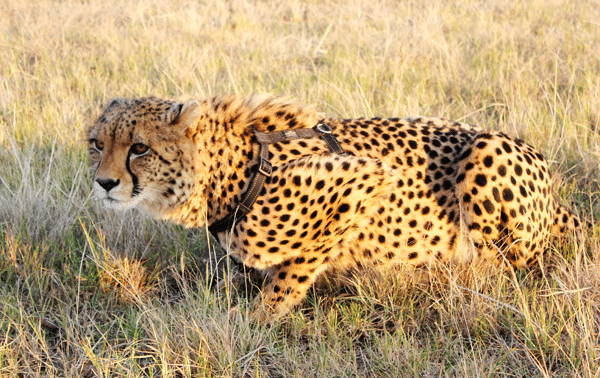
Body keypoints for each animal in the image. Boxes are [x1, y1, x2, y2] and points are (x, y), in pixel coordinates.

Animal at [86, 95, 580, 318]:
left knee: (501, 269)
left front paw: (255, 318)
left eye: (140, 148)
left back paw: (431, 274)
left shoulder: (365, 178)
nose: (105, 183)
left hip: (486, 150)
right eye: (96, 144)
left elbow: (292, 273)